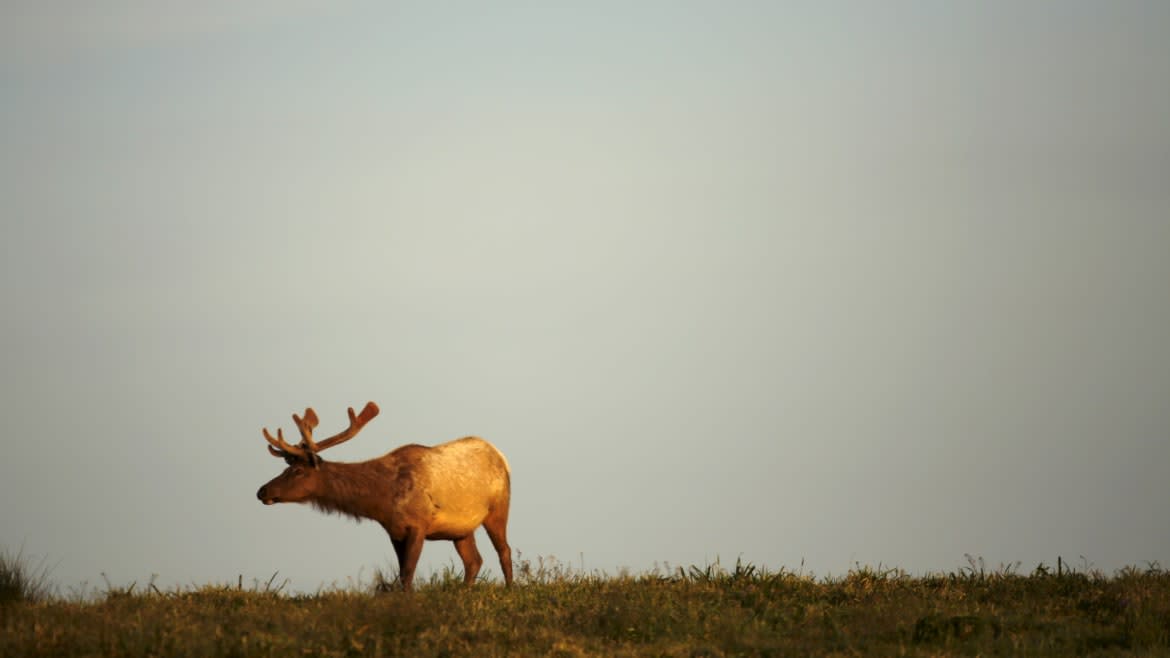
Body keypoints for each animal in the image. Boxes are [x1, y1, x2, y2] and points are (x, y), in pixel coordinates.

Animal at [256, 400, 512, 590]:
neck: (383, 500)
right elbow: (401, 574)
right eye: (286, 467)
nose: (262, 491)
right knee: (474, 561)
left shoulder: (418, 524)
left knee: (504, 550)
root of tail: (501, 456)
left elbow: (408, 573)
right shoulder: (394, 531)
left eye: (298, 471)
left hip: (499, 508)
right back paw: (463, 592)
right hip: (460, 529)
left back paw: (510, 589)